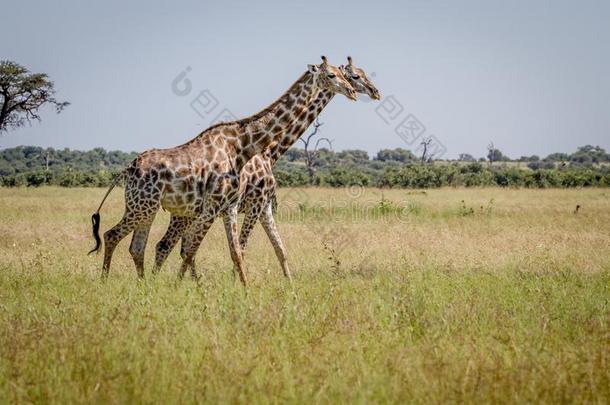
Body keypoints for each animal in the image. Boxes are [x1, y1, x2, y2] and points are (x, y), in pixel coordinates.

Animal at [87, 57, 354, 284]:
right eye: (332, 74)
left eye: (345, 74)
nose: (352, 90)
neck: (245, 145)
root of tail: (128, 169)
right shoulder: (220, 205)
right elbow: (195, 251)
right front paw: (190, 288)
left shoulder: (231, 206)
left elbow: (240, 251)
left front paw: (251, 290)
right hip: (145, 207)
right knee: (115, 236)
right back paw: (105, 282)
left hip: (148, 208)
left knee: (138, 247)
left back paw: (146, 286)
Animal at [153, 56, 380, 278]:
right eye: (354, 75)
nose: (374, 92)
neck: (271, 153)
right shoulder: (255, 204)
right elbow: (242, 249)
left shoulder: (265, 207)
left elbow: (280, 250)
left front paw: (289, 285)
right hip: (185, 215)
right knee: (167, 245)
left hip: (191, 214)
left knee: (183, 247)